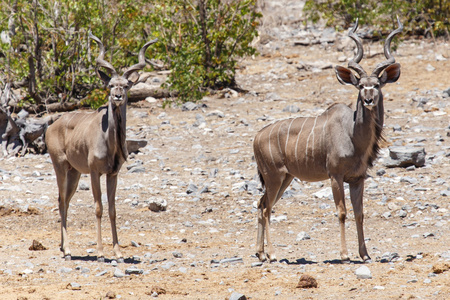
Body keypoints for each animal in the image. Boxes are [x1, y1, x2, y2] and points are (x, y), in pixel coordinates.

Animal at [45, 32, 157, 262]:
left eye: (126, 85)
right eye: (111, 84)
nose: (117, 96)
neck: (109, 142)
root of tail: (51, 127)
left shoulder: (113, 174)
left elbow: (113, 209)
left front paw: (118, 253)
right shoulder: (95, 172)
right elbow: (98, 208)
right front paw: (100, 253)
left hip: (74, 173)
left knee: (65, 201)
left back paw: (63, 247)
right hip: (60, 167)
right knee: (61, 200)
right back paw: (67, 250)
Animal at [253, 17, 404, 262]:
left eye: (377, 85)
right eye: (360, 86)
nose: (368, 99)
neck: (353, 136)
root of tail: (257, 137)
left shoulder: (357, 179)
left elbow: (359, 213)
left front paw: (365, 255)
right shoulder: (335, 175)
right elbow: (342, 212)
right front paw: (344, 254)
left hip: (284, 178)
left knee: (261, 203)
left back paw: (260, 253)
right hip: (274, 177)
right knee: (266, 209)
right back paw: (273, 255)